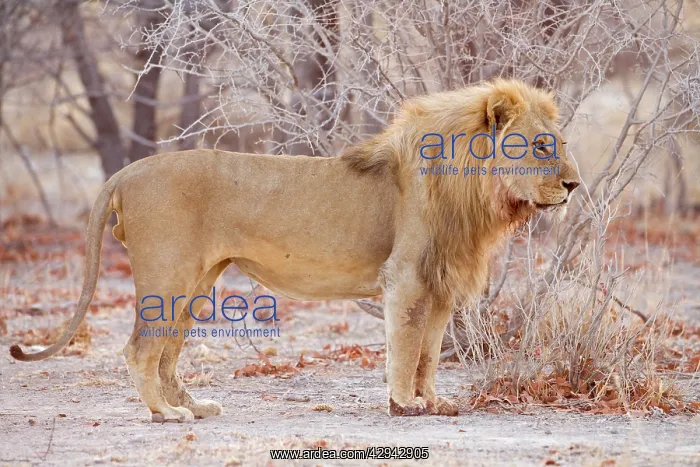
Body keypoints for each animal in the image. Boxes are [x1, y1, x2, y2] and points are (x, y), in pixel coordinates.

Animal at [10, 79, 580, 422]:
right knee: (139, 350)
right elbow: (404, 349)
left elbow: (429, 355)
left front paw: (434, 402)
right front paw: (402, 405)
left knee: (167, 353)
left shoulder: (440, 286)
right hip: (167, 276)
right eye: (540, 146)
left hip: (195, 282)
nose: (574, 185)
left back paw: (195, 406)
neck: (476, 191)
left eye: (559, 144)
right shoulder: (406, 279)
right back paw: (165, 415)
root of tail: (128, 170)